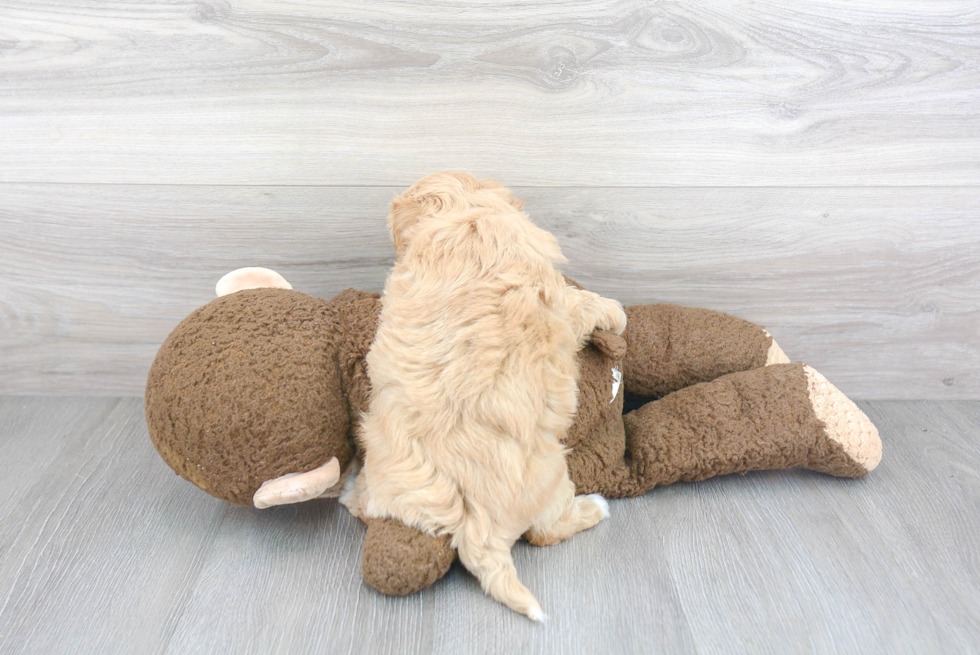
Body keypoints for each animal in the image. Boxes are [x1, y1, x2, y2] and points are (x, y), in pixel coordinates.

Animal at [340, 170, 624, 620]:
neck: (466, 214)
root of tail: (476, 531)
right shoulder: (557, 295)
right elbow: (582, 303)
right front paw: (614, 310)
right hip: (552, 478)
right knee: (545, 531)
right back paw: (595, 507)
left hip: (389, 474)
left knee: (368, 508)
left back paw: (350, 491)